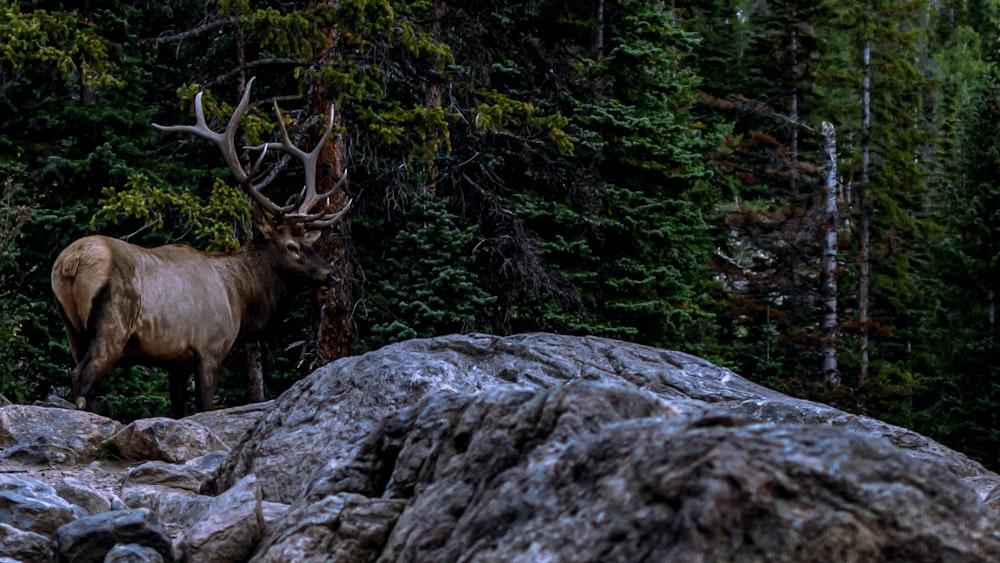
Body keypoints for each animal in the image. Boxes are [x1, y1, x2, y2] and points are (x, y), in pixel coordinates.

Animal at [49, 77, 352, 416]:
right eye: (291, 246)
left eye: (307, 243)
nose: (332, 275)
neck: (240, 296)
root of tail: (71, 262)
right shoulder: (210, 348)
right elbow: (204, 407)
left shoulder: (175, 360)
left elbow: (178, 410)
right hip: (112, 324)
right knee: (82, 377)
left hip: (71, 329)